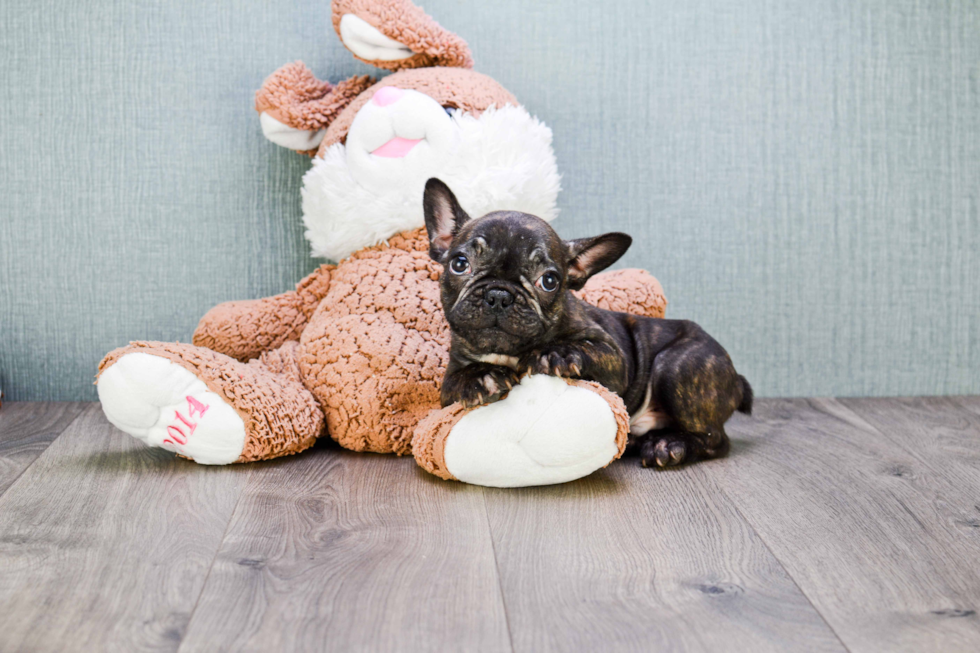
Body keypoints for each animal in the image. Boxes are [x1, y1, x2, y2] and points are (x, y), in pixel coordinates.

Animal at [424, 176, 756, 466]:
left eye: (549, 281)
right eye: (459, 264)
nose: (499, 294)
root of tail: (736, 377)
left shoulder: (614, 356)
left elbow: (585, 348)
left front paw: (554, 353)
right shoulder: (450, 379)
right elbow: (455, 381)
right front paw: (480, 376)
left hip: (678, 367)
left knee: (715, 439)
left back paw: (669, 446)